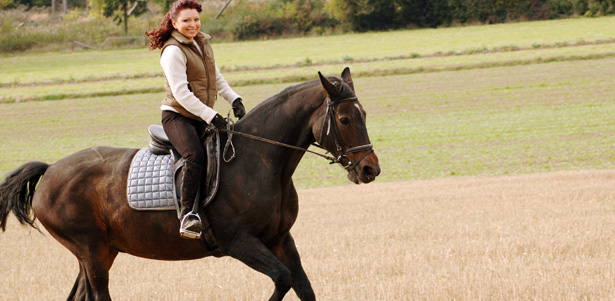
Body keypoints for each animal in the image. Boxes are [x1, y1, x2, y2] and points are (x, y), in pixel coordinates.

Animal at [1, 67, 380, 300]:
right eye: (344, 119)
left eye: (364, 114)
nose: (370, 170)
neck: (262, 161)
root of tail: (51, 170)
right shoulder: (239, 242)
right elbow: (283, 279)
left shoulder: (279, 239)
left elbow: (302, 286)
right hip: (91, 251)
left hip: (101, 252)